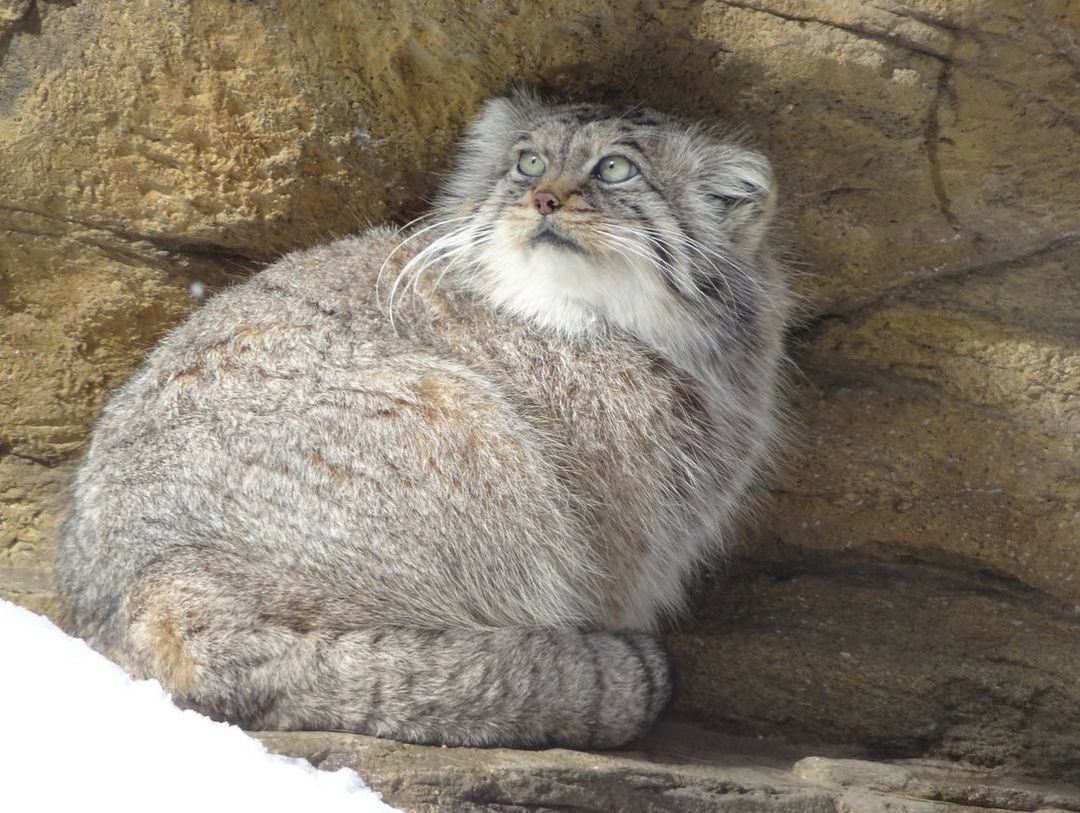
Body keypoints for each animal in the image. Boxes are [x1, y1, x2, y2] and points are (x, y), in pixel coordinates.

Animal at [56, 91, 794, 747]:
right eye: (528, 162)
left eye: (615, 169)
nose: (543, 198)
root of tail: (150, 588)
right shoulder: (623, 530)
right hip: (473, 432)